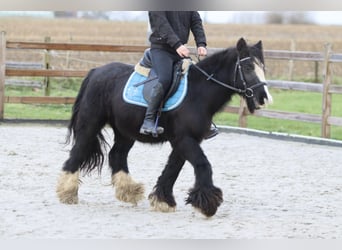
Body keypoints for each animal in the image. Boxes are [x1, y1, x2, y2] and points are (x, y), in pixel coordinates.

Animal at [56, 37, 272, 217]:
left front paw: (163, 200)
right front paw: (208, 204)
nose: (264, 98)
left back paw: (129, 191)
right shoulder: (184, 139)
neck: (198, 92)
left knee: (117, 155)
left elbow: (172, 169)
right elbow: (202, 165)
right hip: (91, 124)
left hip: (125, 132)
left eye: (263, 67)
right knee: (78, 152)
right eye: (248, 67)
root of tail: (95, 72)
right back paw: (67, 192)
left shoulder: (184, 140)